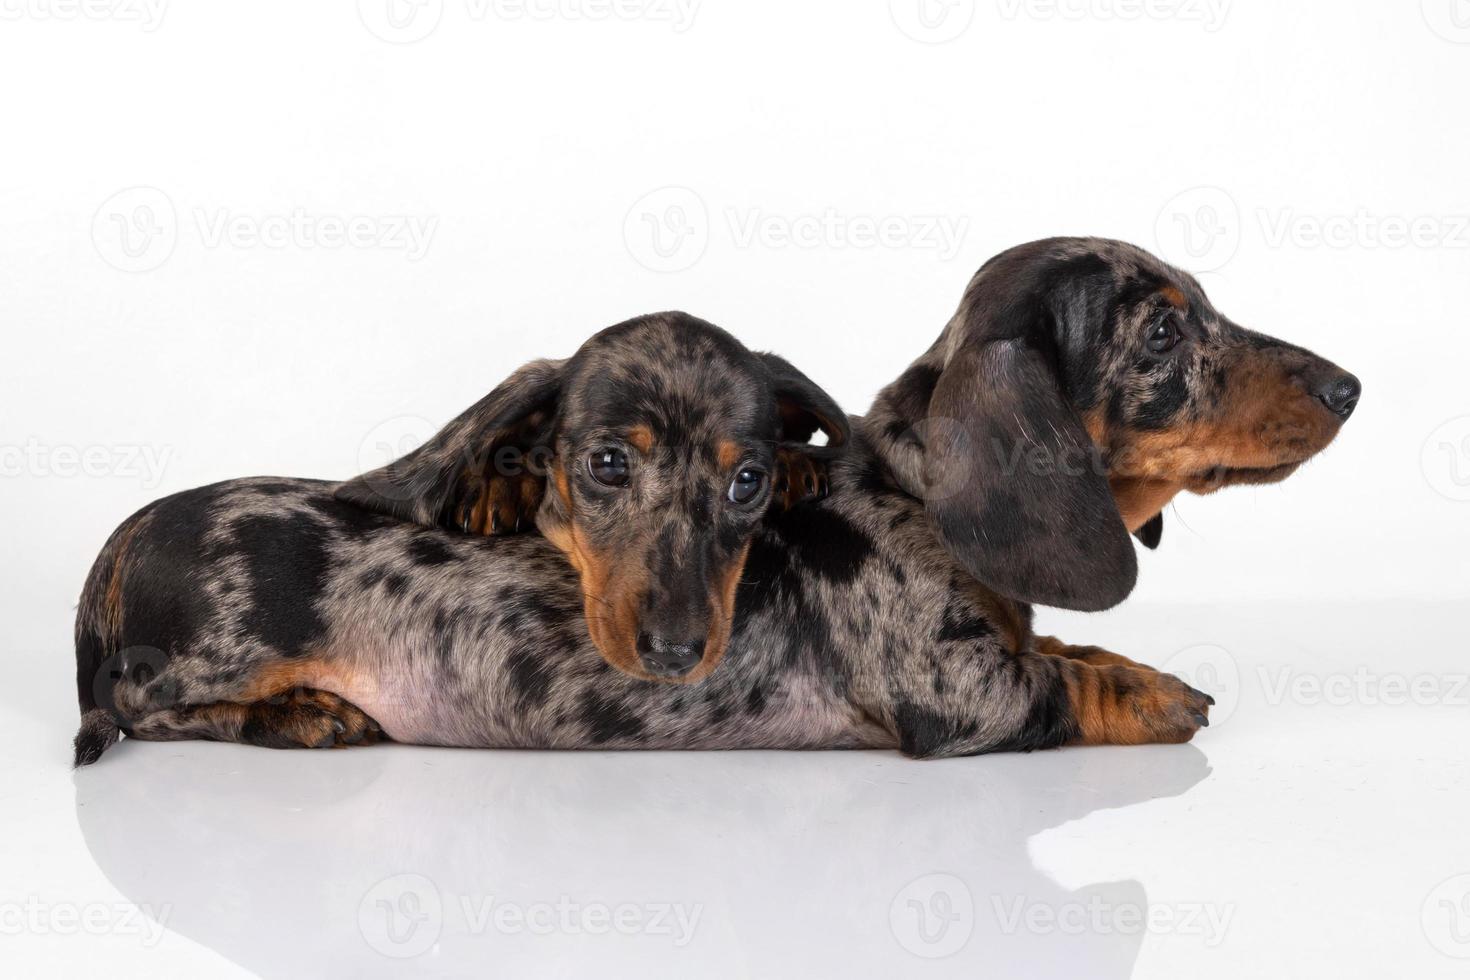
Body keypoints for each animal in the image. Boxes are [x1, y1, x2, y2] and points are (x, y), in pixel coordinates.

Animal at [69, 239, 1352, 764]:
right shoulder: (963, 692)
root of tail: (119, 544)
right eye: (1165, 330)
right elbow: (1064, 677)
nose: (1348, 384)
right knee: (137, 702)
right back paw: (305, 717)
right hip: (205, 657)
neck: (925, 502)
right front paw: (1160, 691)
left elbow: (1068, 639)